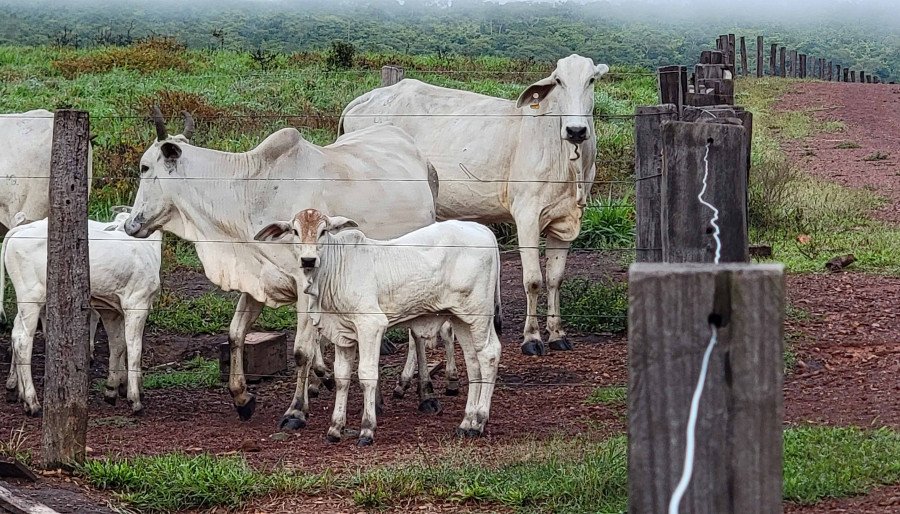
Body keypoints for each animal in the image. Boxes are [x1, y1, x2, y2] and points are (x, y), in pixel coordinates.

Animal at [0, 210, 162, 414]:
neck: (148, 248)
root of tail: (21, 230)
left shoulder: (112, 309)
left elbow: (118, 345)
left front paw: (113, 389)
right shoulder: (137, 303)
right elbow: (134, 348)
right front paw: (134, 398)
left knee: (15, 334)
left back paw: (17, 391)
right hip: (31, 297)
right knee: (22, 341)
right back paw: (31, 402)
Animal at [124, 109, 440, 428]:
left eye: (145, 167)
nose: (130, 225)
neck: (249, 191)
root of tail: (424, 160)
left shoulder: (305, 287)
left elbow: (301, 351)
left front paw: (296, 410)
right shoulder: (257, 279)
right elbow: (236, 334)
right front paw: (242, 397)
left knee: (418, 334)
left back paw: (425, 393)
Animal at [256, 208, 502, 444]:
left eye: (323, 231)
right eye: (295, 231)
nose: (308, 260)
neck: (334, 270)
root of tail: (483, 230)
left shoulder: (370, 325)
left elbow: (366, 375)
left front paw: (367, 429)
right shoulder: (342, 334)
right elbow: (342, 377)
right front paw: (335, 428)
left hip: (479, 314)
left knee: (489, 354)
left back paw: (479, 421)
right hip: (461, 318)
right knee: (473, 361)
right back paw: (467, 422)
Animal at [340, 54, 612, 354]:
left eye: (591, 80)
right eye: (559, 80)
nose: (576, 130)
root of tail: (364, 99)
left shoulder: (565, 220)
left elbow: (555, 279)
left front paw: (556, 334)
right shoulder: (527, 216)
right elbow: (533, 280)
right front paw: (532, 338)